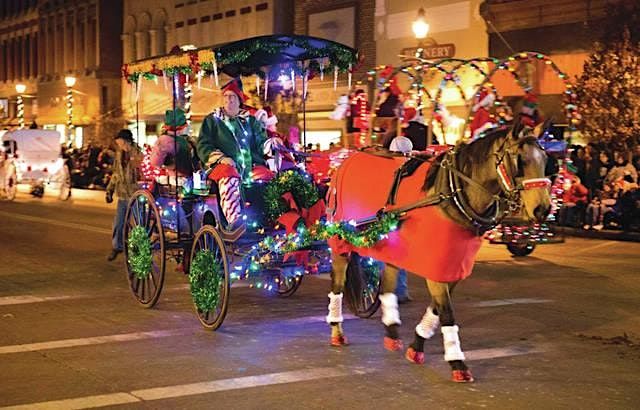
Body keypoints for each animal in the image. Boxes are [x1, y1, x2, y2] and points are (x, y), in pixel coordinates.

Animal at [324, 118, 552, 382]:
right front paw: (457, 363)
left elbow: (436, 309)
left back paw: (392, 332)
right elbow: (447, 313)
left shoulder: (452, 266)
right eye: (519, 161)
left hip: (394, 244)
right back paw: (337, 330)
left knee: (388, 283)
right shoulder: (437, 266)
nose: (543, 209)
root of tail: (347, 159)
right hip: (341, 237)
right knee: (338, 284)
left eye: (545, 160)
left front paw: (417, 346)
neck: (452, 194)